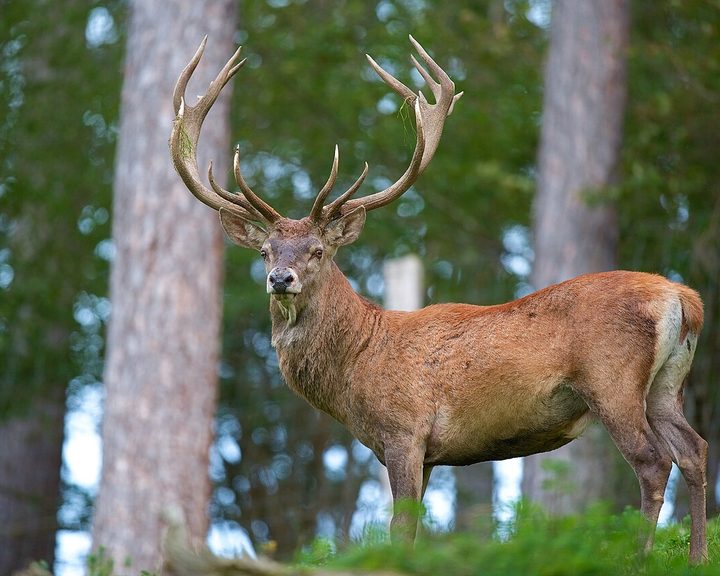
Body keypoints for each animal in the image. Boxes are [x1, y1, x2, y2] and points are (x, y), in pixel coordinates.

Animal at [170, 36, 708, 563]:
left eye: (318, 251)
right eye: (265, 251)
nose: (281, 278)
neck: (357, 362)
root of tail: (684, 298)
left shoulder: (404, 432)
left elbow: (400, 530)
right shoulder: (426, 453)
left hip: (611, 379)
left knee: (653, 461)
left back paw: (640, 558)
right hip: (666, 385)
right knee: (694, 450)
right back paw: (698, 557)